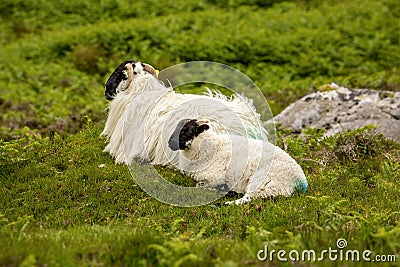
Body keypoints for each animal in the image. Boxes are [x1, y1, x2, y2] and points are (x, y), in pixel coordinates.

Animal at [167, 119, 308, 205]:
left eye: (187, 131)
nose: (169, 144)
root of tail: (300, 182)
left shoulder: (216, 177)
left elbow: (200, 185)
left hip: (263, 181)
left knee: (248, 199)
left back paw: (224, 202)